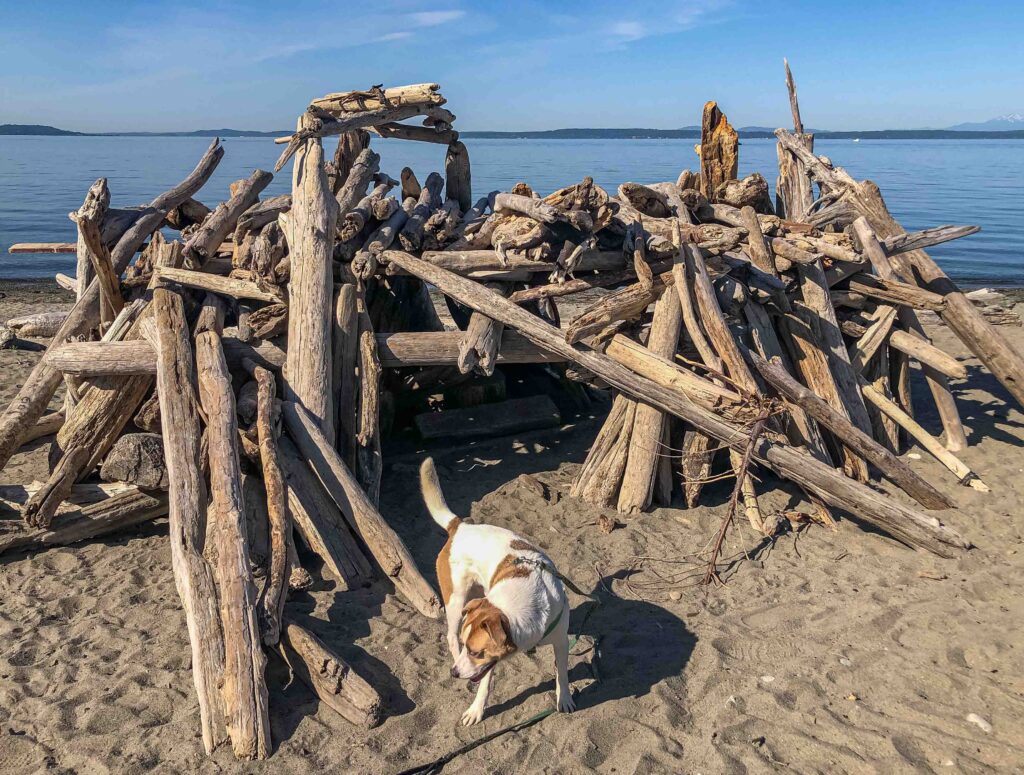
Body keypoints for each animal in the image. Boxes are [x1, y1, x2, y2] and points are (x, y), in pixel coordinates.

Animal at [417, 456, 577, 720]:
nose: (453, 673)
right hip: (456, 599)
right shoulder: (488, 662)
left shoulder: (561, 641)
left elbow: (562, 674)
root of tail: (460, 527)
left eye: (476, 652)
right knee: (450, 635)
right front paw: (476, 710)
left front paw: (564, 698)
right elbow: (484, 683)